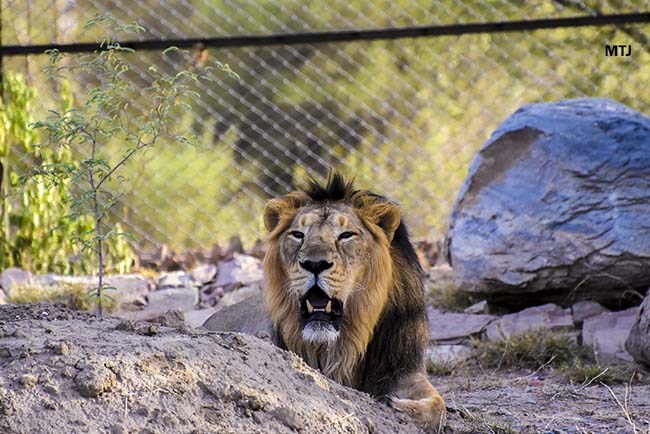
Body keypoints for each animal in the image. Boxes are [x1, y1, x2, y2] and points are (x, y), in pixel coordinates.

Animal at [262, 173, 446, 431]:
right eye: (298, 235)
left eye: (346, 235)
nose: (315, 264)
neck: (342, 344)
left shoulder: (404, 369)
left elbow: (439, 407)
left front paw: (397, 404)